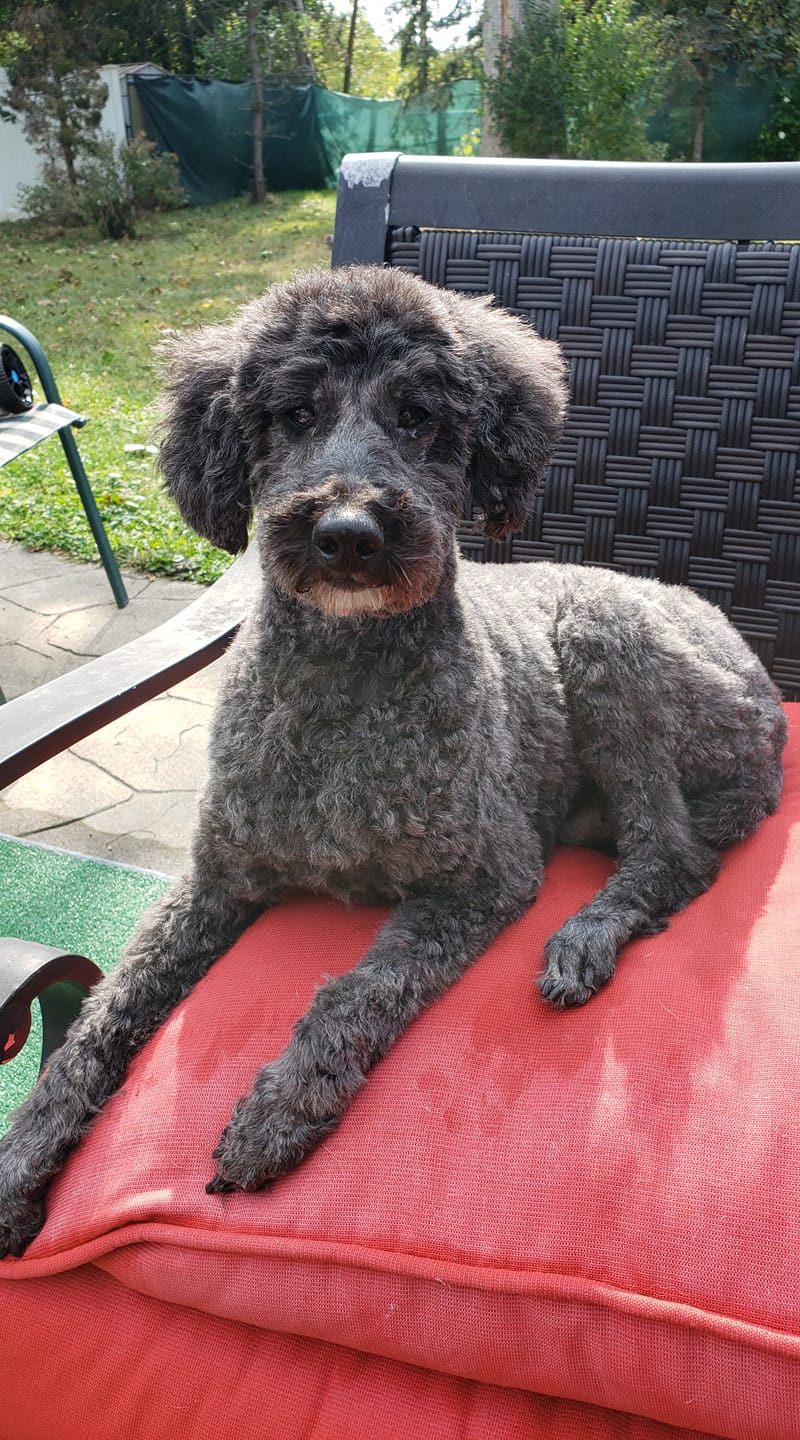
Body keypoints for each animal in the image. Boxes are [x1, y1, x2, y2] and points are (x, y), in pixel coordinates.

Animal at [0, 265, 786, 1257]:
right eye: (294, 414)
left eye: (417, 418)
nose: (347, 532)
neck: (345, 687)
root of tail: (769, 707)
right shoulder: (216, 880)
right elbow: (101, 1021)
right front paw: (20, 1165)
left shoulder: (483, 879)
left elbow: (359, 988)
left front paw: (283, 1103)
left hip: (610, 640)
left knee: (675, 855)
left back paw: (584, 938)